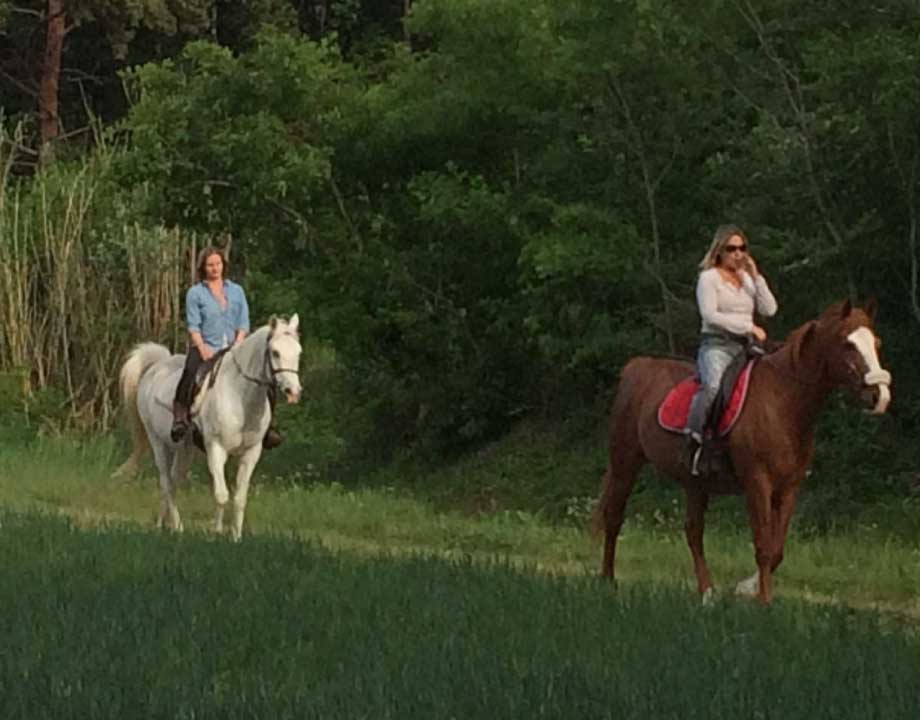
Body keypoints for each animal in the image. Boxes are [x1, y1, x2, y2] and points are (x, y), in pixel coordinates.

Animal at [113, 316, 304, 540]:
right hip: (157, 441)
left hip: (184, 449)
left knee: (173, 481)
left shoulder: (251, 452)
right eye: (275, 352)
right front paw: (216, 532)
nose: (293, 391)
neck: (240, 397)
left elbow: (239, 498)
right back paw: (176, 526)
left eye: (298, 351)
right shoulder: (216, 448)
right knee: (166, 482)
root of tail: (157, 366)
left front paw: (236, 537)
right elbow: (221, 495)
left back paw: (165, 524)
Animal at [596, 300, 892, 604]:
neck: (783, 401)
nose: (880, 396)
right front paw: (763, 601)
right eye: (848, 344)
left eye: (876, 343)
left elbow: (776, 550)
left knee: (693, 532)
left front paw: (747, 588)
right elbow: (763, 546)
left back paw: (707, 592)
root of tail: (637, 366)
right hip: (625, 463)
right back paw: (607, 581)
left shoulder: (788, 488)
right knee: (614, 518)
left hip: (695, 483)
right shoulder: (757, 483)